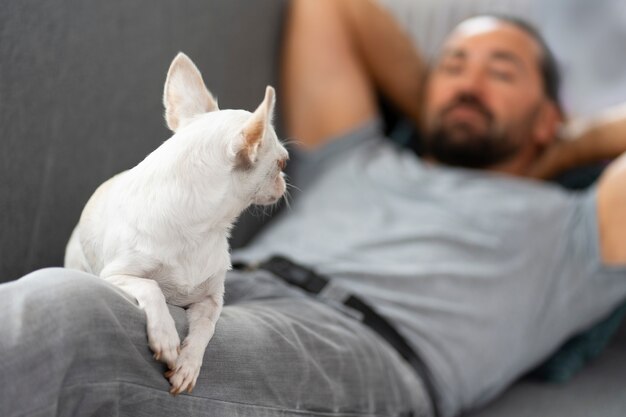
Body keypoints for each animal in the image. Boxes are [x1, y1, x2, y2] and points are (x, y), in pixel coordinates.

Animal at [63, 52, 288, 394]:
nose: (284, 181)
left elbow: (205, 330)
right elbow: (152, 286)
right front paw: (166, 338)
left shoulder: (211, 301)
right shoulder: (114, 275)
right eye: (281, 162)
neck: (200, 232)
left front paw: (188, 364)